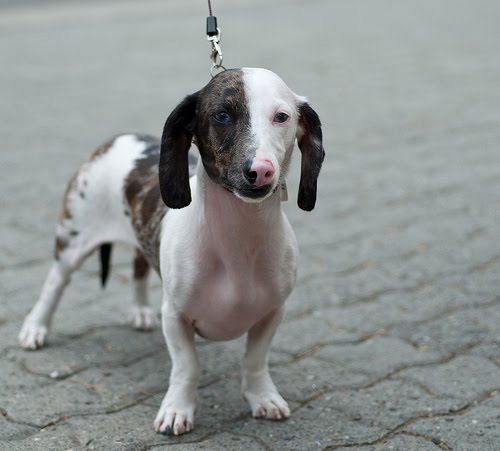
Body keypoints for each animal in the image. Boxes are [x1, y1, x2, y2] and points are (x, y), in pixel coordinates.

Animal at [17, 68, 324, 438]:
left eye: (282, 117)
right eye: (222, 115)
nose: (261, 169)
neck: (237, 242)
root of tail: (120, 138)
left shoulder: (272, 313)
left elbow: (254, 360)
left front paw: (262, 397)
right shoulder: (176, 317)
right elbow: (187, 366)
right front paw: (177, 410)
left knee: (138, 267)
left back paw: (139, 311)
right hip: (72, 240)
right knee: (55, 284)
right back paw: (36, 327)